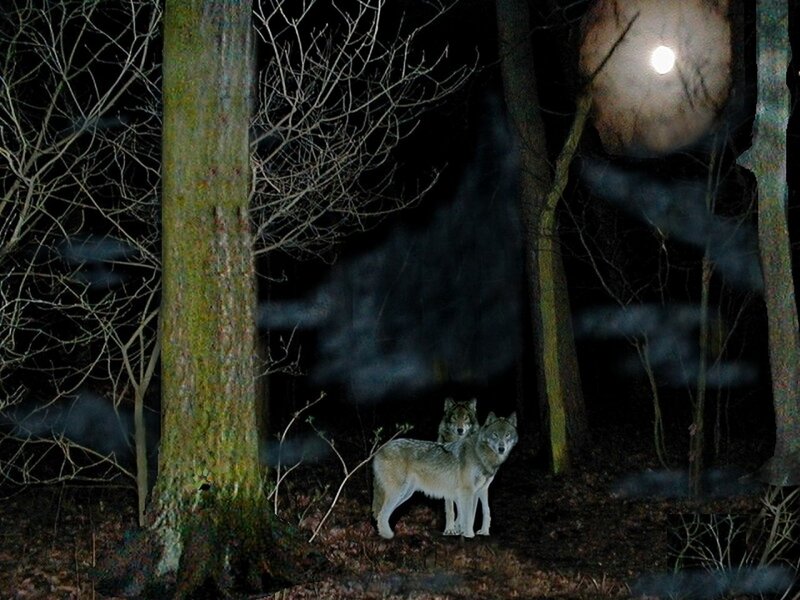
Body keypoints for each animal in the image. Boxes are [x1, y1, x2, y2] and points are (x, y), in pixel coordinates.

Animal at [372, 412, 518, 539]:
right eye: (495, 435)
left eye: (507, 435)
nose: (501, 449)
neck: (481, 454)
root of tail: (379, 450)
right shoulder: (467, 491)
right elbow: (467, 516)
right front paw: (469, 535)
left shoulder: (478, 491)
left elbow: (475, 513)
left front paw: (467, 532)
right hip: (398, 493)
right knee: (382, 514)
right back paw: (388, 536)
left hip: (405, 494)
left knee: (381, 514)